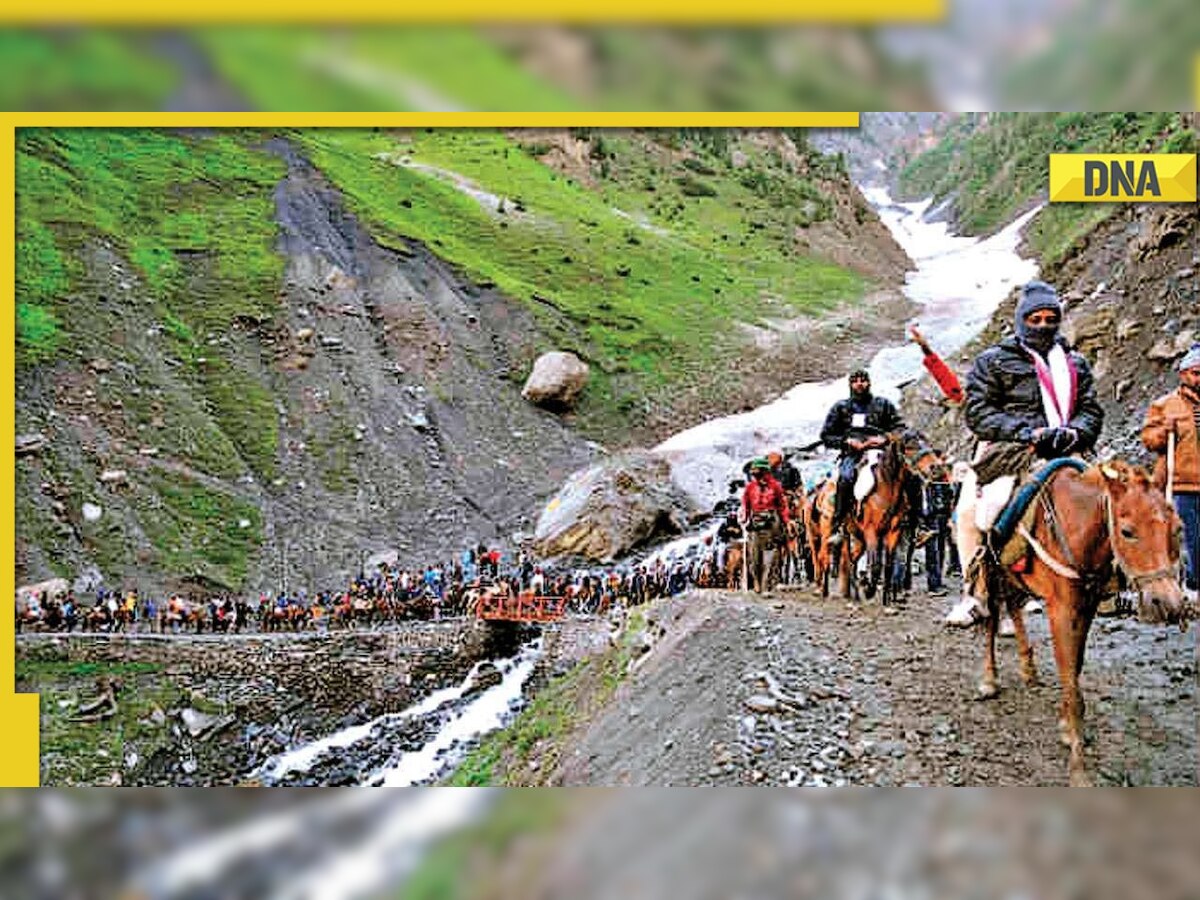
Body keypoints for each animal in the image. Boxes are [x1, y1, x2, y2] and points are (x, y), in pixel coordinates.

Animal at [979, 460, 1185, 787]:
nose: (1168, 604)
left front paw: (1068, 726)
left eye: (1177, 528)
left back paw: (1028, 669)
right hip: (992, 570)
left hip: (1014, 577)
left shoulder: (1086, 608)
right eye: (1127, 532)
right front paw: (1078, 766)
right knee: (991, 620)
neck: (1076, 528)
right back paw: (989, 680)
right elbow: (1068, 675)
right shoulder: (1060, 611)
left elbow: (1075, 668)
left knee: (1013, 607)